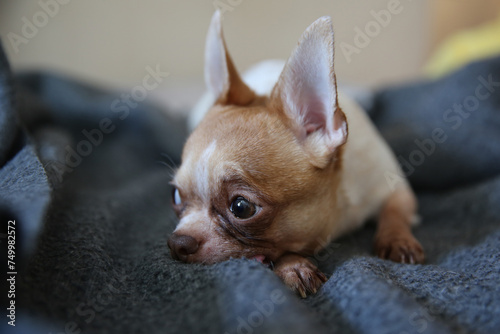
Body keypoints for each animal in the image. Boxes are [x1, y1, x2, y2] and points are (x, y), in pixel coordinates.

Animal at [167, 11, 422, 298]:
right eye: (175, 196)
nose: (178, 241)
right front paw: (295, 266)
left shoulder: (395, 186)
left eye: (241, 207)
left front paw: (398, 240)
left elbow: (395, 212)